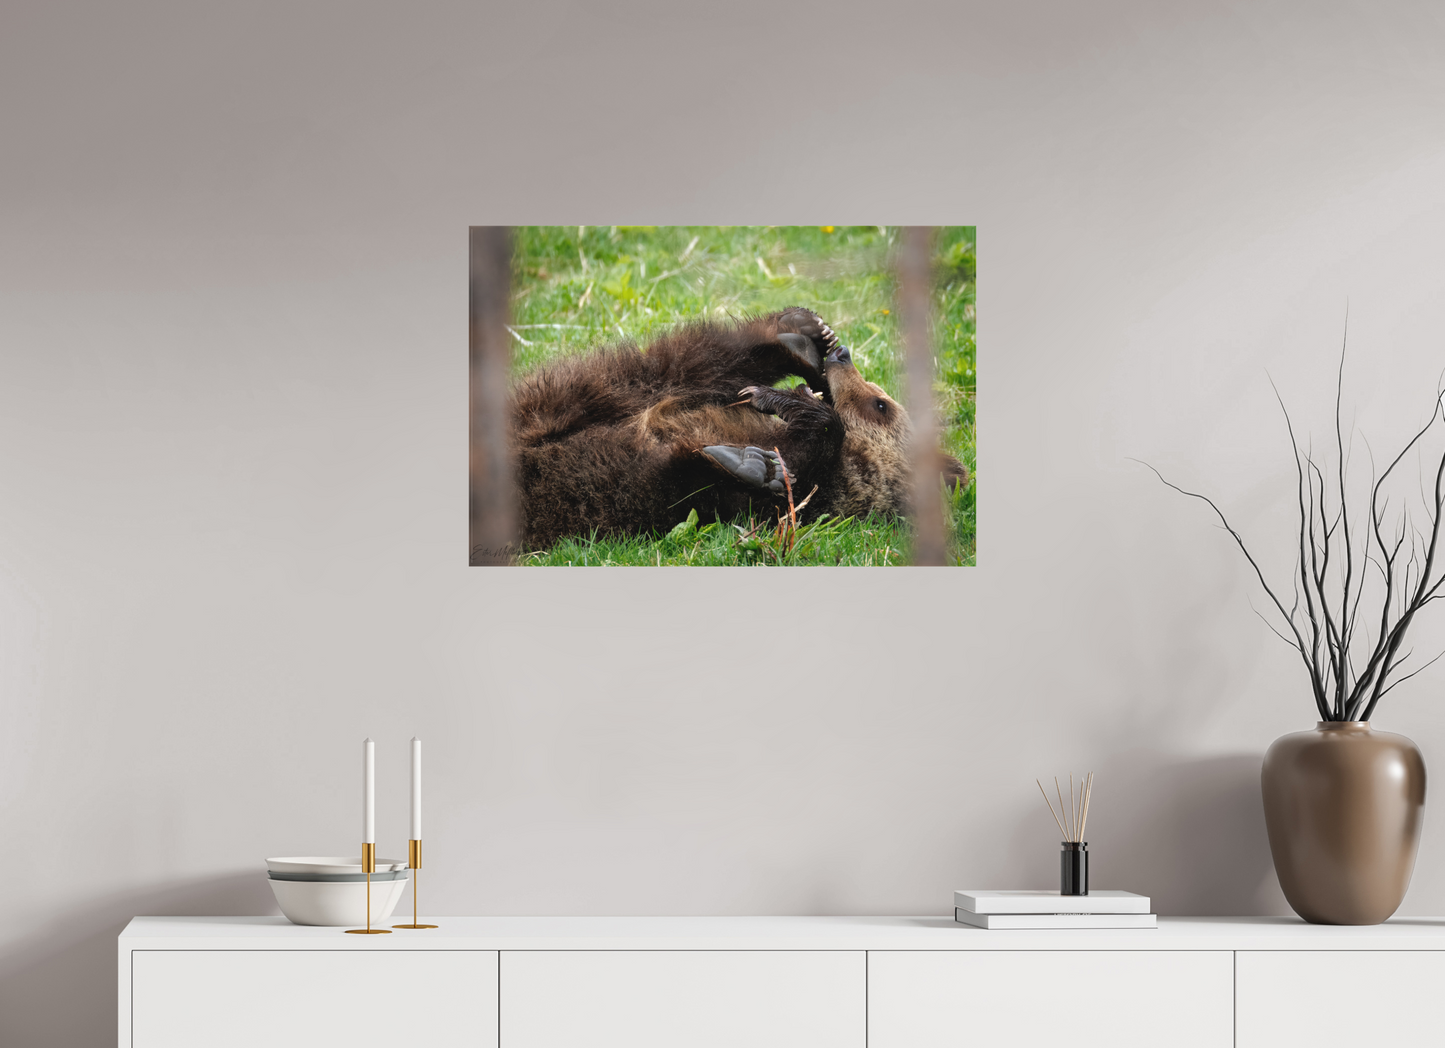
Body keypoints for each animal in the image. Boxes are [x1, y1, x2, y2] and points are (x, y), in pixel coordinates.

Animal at [509, 306, 970, 548]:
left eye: (880, 405)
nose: (842, 356)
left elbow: (699, 482)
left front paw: (756, 461)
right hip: (572, 398)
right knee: (672, 366)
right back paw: (797, 335)